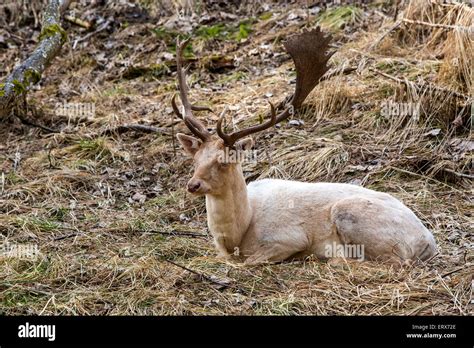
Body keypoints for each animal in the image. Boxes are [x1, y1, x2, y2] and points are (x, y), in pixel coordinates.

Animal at [171, 29, 436, 264]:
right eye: (195, 159)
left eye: (223, 161)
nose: (193, 185)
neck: (239, 234)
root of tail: (428, 240)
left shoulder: (288, 238)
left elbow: (250, 262)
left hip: (353, 215)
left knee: (395, 262)